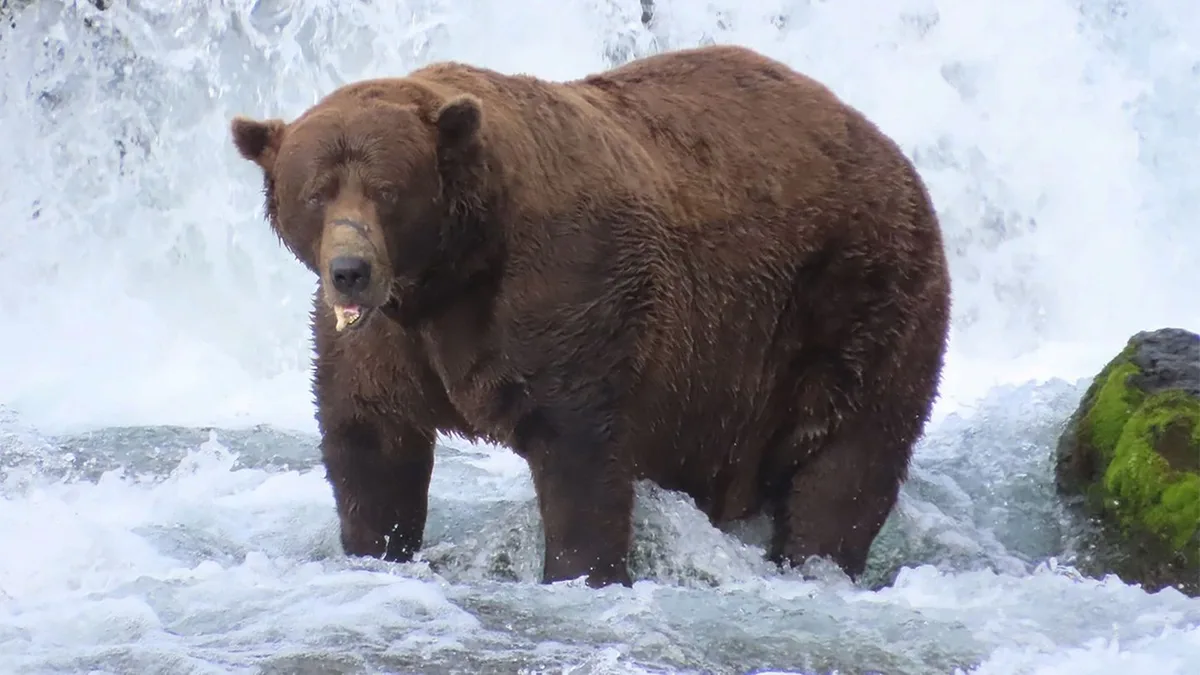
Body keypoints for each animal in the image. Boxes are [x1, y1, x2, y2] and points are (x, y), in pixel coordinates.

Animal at [229, 43, 952, 589]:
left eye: (387, 190)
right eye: (316, 192)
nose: (350, 269)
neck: (451, 273)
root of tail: (888, 148)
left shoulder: (568, 292)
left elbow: (579, 452)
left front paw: (581, 571)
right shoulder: (384, 342)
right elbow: (371, 441)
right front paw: (376, 547)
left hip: (853, 298)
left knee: (848, 459)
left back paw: (816, 561)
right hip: (727, 380)